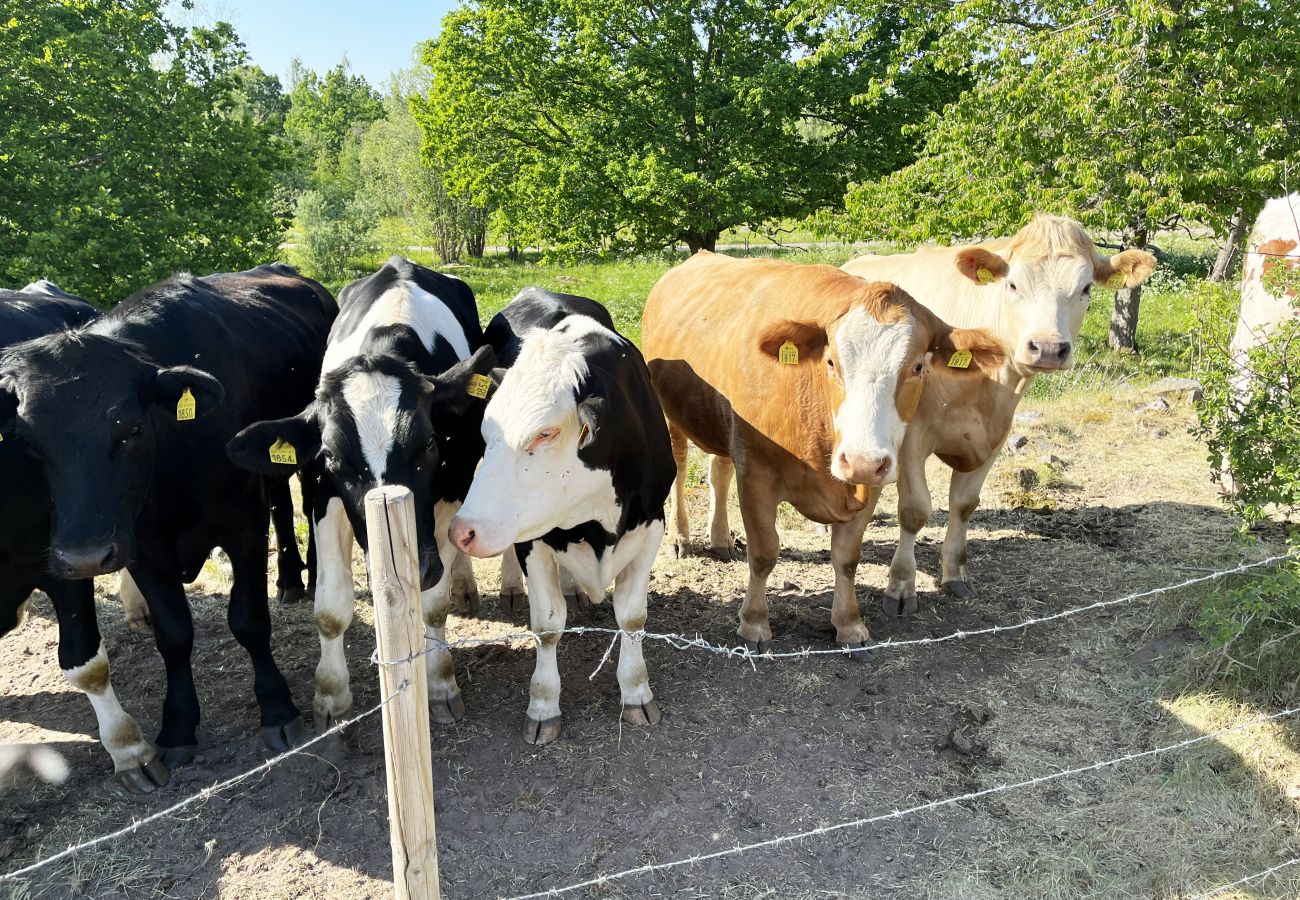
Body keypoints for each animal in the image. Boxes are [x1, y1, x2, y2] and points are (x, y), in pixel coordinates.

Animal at [1, 261, 335, 785]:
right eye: (29, 443)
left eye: (132, 429)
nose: (83, 557)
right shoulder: (143, 546)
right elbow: (174, 634)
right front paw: (177, 728)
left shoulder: (243, 523)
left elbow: (249, 620)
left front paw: (278, 710)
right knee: (283, 506)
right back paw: (288, 581)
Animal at [226, 256, 493, 733]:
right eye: (331, 456)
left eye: (429, 444)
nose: (416, 566)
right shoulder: (323, 496)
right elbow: (332, 610)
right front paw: (331, 698)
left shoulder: (450, 489)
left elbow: (433, 604)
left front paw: (440, 683)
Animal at [449, 290, 676, 743]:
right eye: (486, 432)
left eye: (545, 433)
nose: (463, 530)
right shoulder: (531, 540)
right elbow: (548, 625)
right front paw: (543, 705)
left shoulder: (651, 524)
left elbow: (633, 616)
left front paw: (637, 692)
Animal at [642, 249, 1003, 658]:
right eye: (831, 362)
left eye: (917, 366)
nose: (861, 460)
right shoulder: (756, 471)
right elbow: (764, 552)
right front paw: (753, 623)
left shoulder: (868, 484)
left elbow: (847, 558)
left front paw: (849, 624)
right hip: (668, 410)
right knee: (681, 464)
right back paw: (681, 538)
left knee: (719, 470)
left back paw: (719, 539)